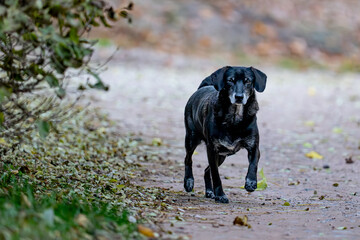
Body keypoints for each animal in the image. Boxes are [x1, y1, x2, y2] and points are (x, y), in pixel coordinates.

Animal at [184, 65, 266, 202]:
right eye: (230, 80)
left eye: (248, 81)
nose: (239, 97)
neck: (234, 117)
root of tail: (202, 88)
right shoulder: (212, 150)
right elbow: (216, 175)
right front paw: (221, 194)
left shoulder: (254, 147)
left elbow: (253, 164)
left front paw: (251, 183)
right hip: (191, 139)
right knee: (188, 160)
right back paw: (189, 182)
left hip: (222, 156)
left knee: (206, 171)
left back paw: (209, 192)